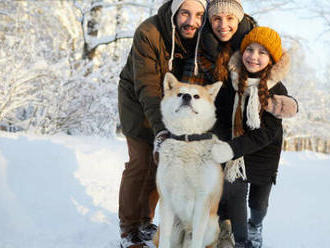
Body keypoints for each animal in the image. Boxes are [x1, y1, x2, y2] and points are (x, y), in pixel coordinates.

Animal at [155, 73, 224, 248]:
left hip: (212, 226)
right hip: (174, 228)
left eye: (196, 96)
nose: (186, 97)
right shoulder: (166, 198)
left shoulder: (202, 200)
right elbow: (164, 240)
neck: (186, 140)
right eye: (180, 94)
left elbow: (197, 240)